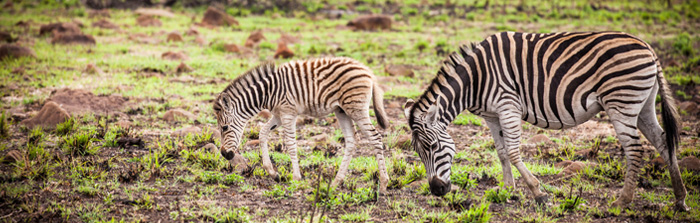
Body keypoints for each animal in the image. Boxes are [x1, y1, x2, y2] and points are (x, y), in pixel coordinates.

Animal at [213, 57, 392, 193]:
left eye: (224, 128)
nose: (225, 154)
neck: (268, 92)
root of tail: (368, 72)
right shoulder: (278, 114)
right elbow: (262, 133)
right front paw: (272, 173)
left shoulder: (288, 113)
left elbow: (290, 144)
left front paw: (296, 178)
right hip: (341, 110)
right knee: (351, 141)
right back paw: (336, 182)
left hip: (355, 108)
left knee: (375, 137)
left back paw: (383, 184)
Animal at [404, 31, 688, 211]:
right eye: (418, 152)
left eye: (432, 147)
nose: (437, 191)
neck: (476, 79)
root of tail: (647, 47)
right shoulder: (491, 115)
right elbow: (501, 152)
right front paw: (507, 190)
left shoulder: (508, 105)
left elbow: (514, 152)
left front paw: (538, 192)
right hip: (642, 104)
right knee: (663, 141)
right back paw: (680, 199)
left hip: (621, 101)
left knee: (635, 149)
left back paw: (622, 202)